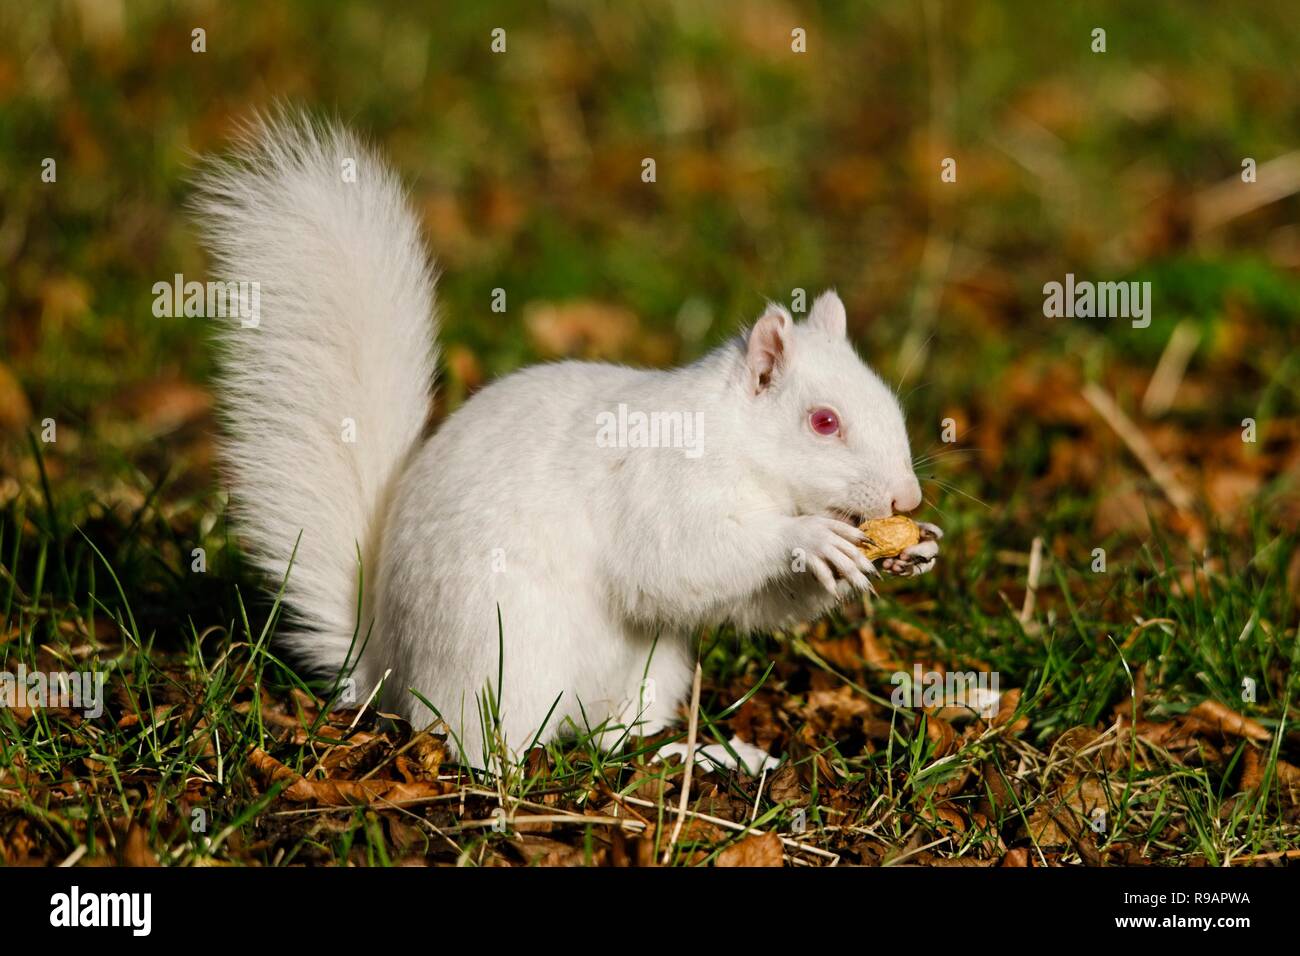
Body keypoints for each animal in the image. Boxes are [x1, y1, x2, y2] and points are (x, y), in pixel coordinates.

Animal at [192, 115, 941, 764]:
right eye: (824, 422)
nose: (907, 499)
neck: (740, 448)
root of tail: (390, 671)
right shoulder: (661, 483)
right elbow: (685, 558)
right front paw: (808, 538)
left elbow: (739, 600)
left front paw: (914, 550)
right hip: (506, 653)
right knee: (481, 739)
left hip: (653, 668)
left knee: (614, 733)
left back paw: (676, 752)